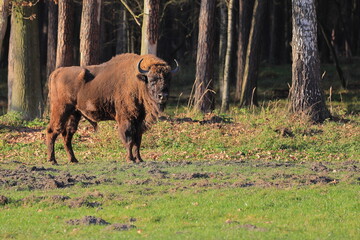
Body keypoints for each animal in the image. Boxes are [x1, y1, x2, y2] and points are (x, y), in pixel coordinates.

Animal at [46, 53, 179, 164]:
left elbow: (137, 140)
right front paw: (130, 159)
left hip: (74, 113)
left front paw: (139, 159)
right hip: (61, 110)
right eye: (152, 80)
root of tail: (56, 73)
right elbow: (129, 139)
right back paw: (52, 160)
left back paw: (73, 159)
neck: (138, 82)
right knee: (52, 131)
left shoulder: (139, 120)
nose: (163, 96)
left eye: (168, 79)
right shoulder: (126, 119)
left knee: (67, 135)